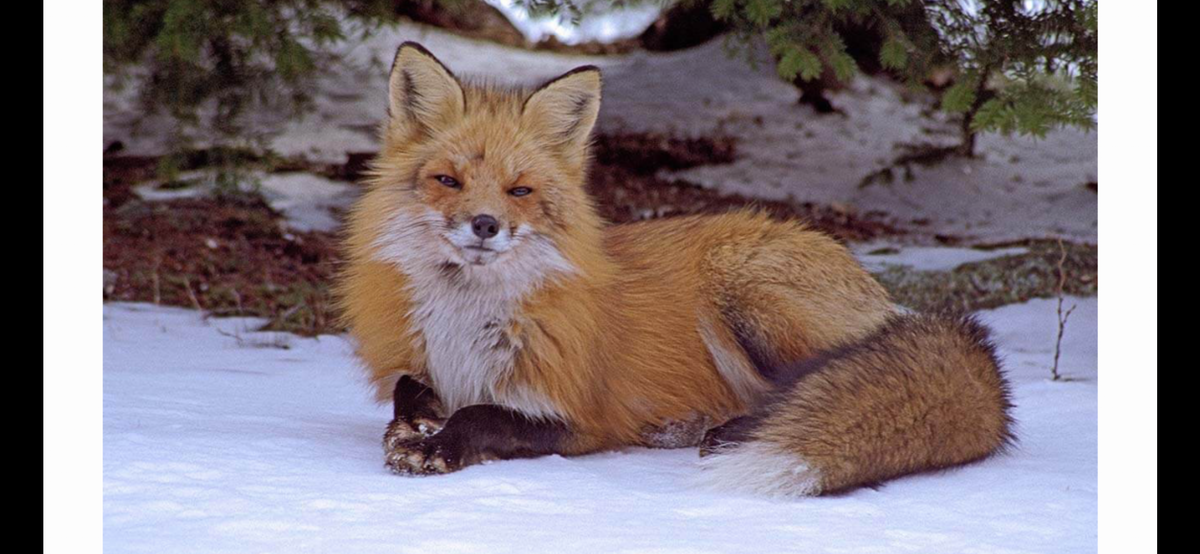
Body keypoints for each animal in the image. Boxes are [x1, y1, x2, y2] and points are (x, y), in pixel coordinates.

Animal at [336, 42, 1014, 497]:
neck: (467, 320)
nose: (484, 225)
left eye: (519, 191)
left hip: (747, 295)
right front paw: (416, 423)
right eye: (448, 181)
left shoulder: (579, 420)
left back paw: (735, 433)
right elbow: (407, 390)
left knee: (818, 383)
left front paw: (438, 444)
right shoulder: (422, 363)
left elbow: (480, 414)